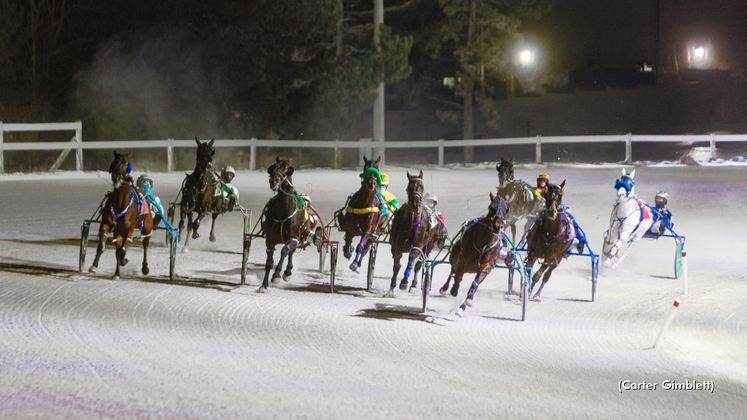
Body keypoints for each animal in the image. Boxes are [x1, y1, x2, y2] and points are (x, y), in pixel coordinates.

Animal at [260, 157, 312, 292]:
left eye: (288, 168)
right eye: (274, 166)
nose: (274, 180)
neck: (283, 212)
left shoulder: (293, 238)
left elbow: (285, 250)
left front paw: (276, 275)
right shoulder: (270, 239)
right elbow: (269, 262)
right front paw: (264, 285)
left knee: (291, 251)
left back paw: (287, 272)